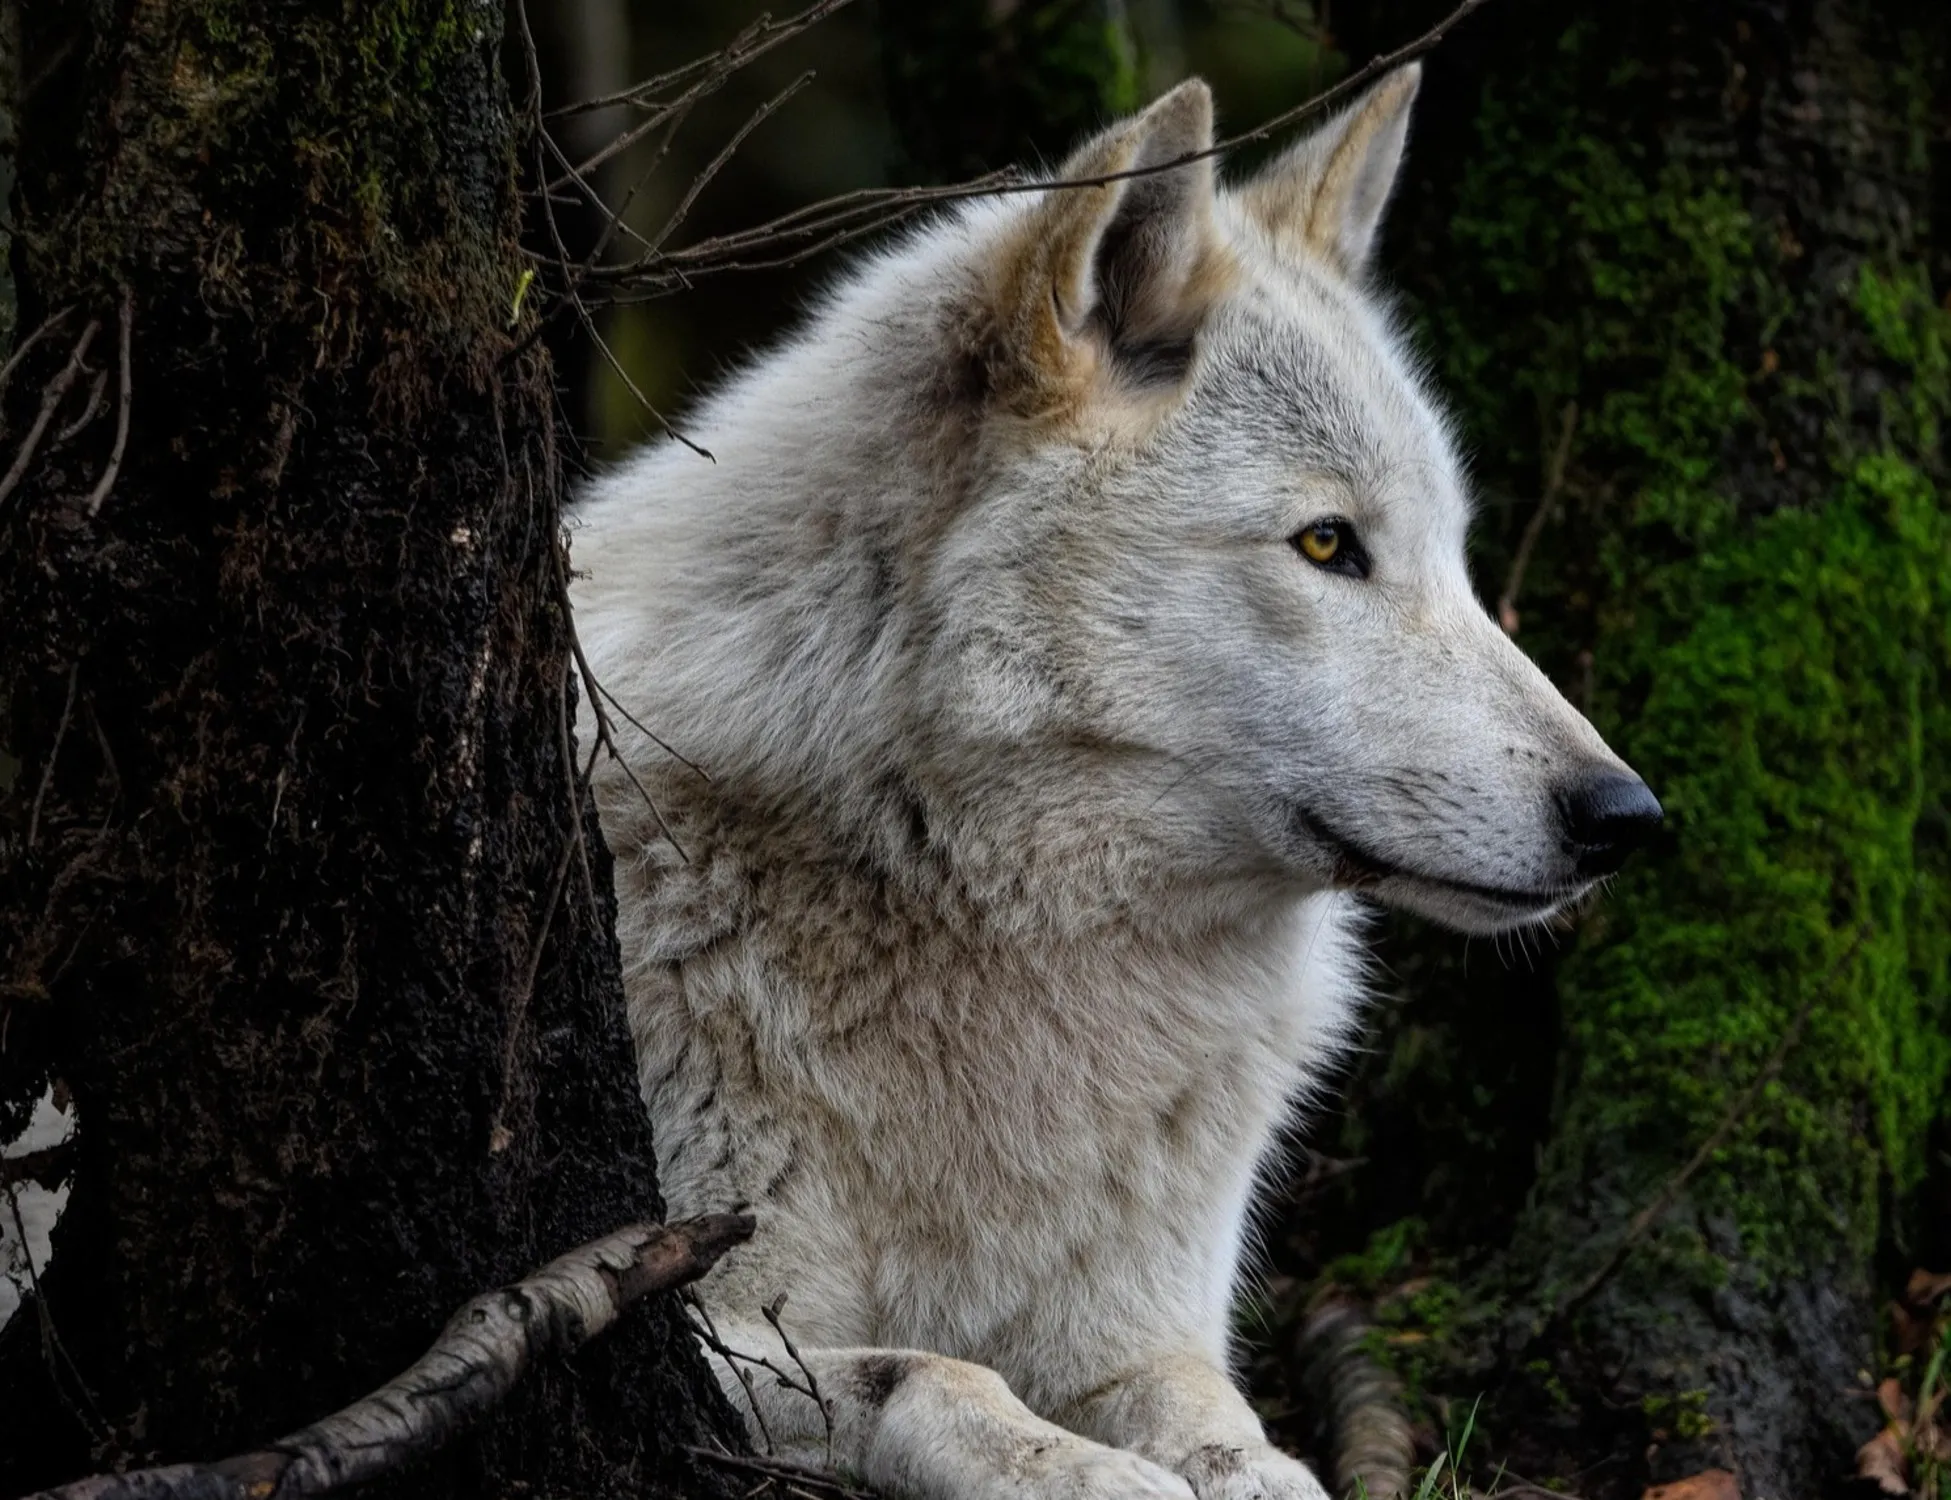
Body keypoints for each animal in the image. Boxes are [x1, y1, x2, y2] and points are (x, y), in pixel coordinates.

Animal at [570, 64, 1660, 1500]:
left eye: (1455, 558)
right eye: (1327, 544)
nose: (1624, 817)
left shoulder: (1143, 1329)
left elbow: (1229, 1430)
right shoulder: (699, 1315)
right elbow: (939, 1372)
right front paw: (1085, 1474)